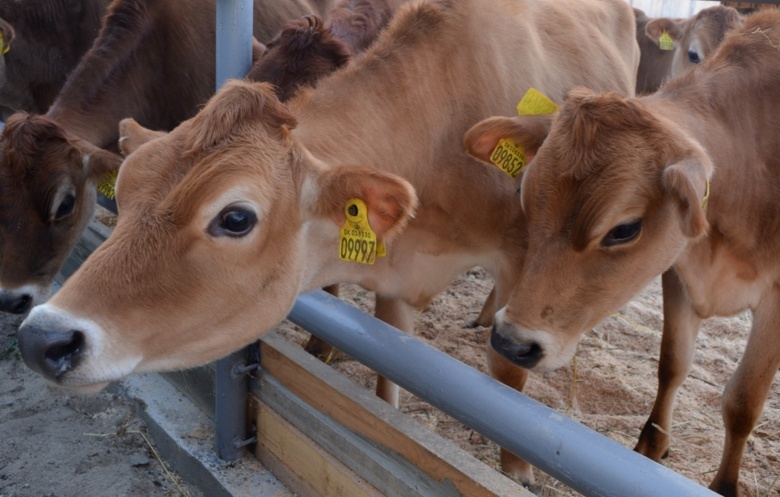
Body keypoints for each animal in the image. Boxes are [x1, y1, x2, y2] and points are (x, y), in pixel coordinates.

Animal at [460, 9, 780, 494]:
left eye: (624, 229)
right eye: (524, 194)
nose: (511, 343)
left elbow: (744, 401)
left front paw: (723, 485)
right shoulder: (678, 272)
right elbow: (672, 365)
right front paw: (650, 447)